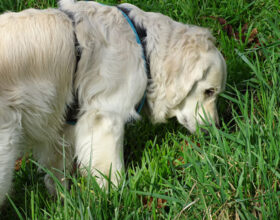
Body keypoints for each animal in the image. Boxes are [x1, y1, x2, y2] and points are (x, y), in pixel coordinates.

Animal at [0, 0, 226, 206]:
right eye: (209, 91)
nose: (215, 129)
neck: (143, 44)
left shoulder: (59, 127)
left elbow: (57, 168)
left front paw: (63, 201)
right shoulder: (106, 118)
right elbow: (111, 171)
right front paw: (116, 201)